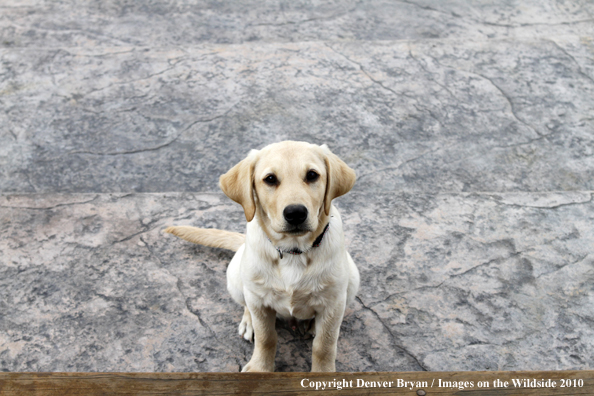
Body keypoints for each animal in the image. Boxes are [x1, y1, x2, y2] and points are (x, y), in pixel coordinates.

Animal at [164, 141, 358, 372]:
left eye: (312, 175)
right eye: (270, 179)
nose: (295, 213)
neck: (292, 252)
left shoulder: (334, 303)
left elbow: (324, 345)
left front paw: (323, 373)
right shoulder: (259, 300)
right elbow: (267, 337)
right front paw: (260, 368)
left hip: (352, 280)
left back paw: (311, 324)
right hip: (236, 279)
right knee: (246, 305)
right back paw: (249, 323)